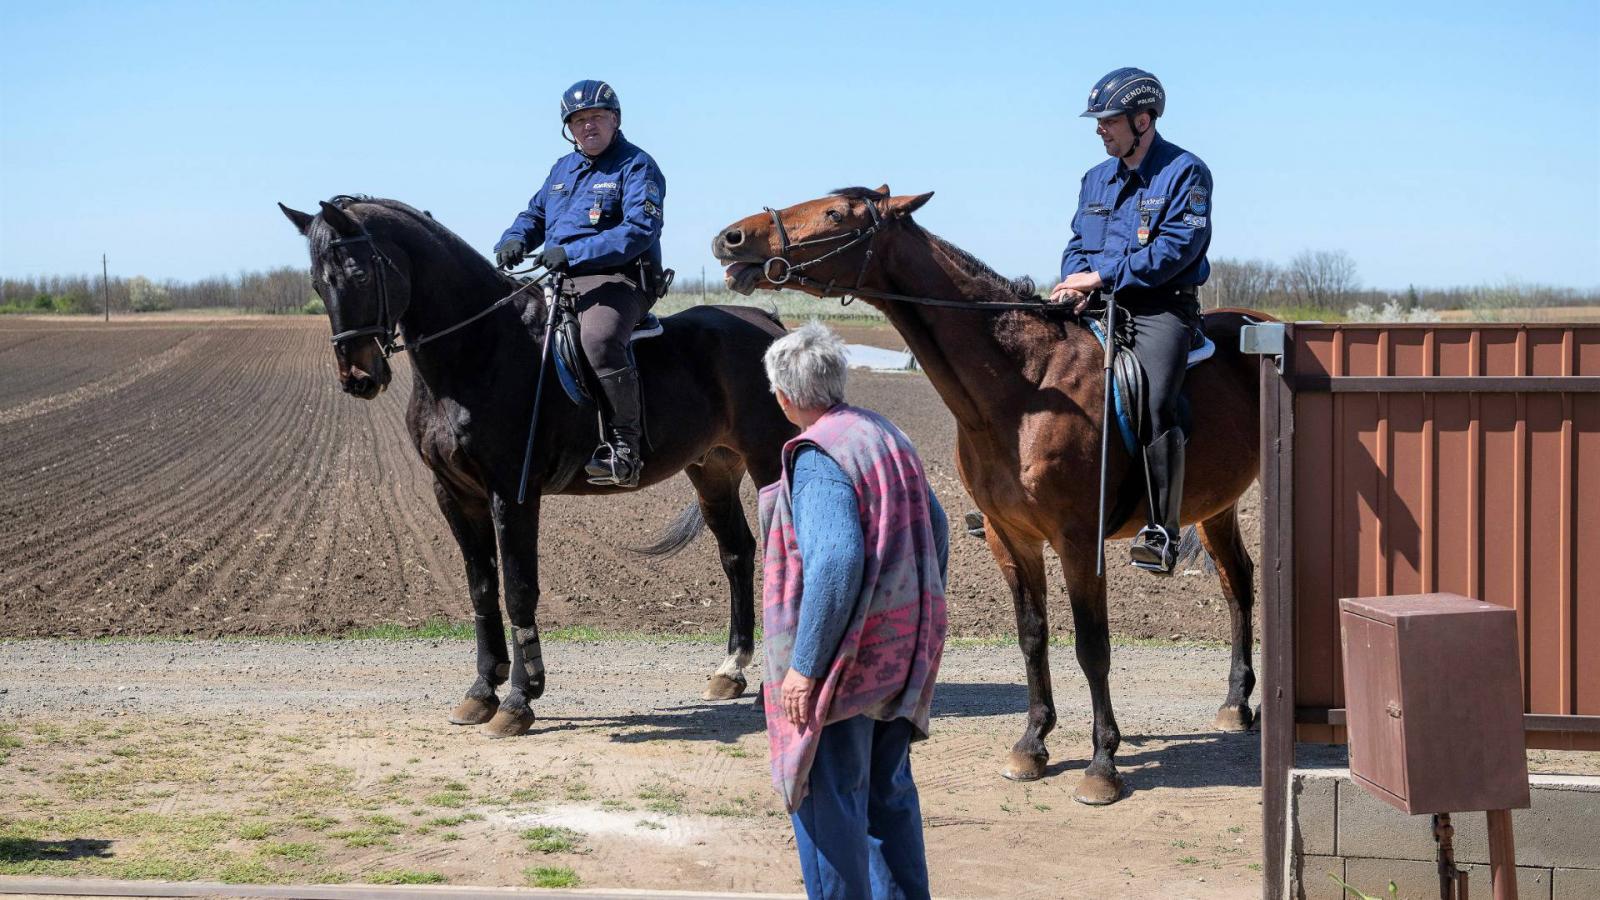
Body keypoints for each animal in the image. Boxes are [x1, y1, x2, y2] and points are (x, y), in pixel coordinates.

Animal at [284, 192, 796, 733]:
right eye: (317, 282)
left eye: (359, 273)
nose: (358, 377)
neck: (479, 348)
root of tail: (769, 323)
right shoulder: (454, 494)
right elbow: (482, 589)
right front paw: (481, 691)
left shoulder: (511, 493)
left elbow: (518, 589)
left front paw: (519, 699)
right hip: (713, 469)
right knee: (737, 553)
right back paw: (731, 670)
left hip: (767, 461)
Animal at [713, 185, 1260, 800]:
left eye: (834, 213)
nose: (731, 238)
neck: (1028, 385)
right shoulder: (1010, 536)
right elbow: (1032, 636)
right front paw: (1032, 744)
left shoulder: (1078, 542)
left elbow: (1092, 648)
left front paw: (1102, 764)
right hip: (1216, 508)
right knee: (1238, 584)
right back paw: (1237, 703)